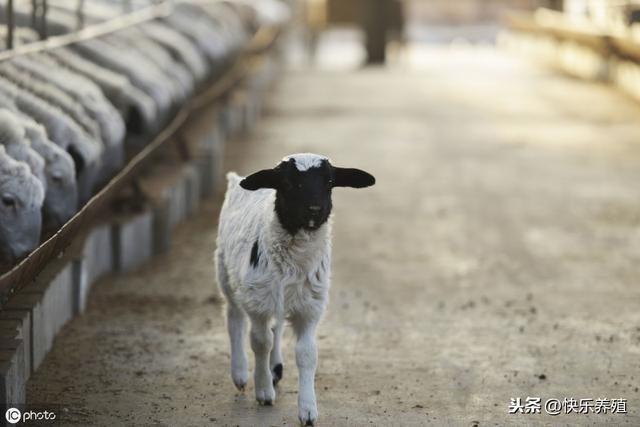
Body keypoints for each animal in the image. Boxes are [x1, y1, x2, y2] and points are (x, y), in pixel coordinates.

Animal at [215, 153, 376, 424]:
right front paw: (263, 391)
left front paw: (308, 410)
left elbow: (307, 354)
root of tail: (236, 180)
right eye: (288, 183)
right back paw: (240, 373)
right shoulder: (257, 302)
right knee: (234, 318)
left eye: (329, 182)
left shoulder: (310, 307)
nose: (314, 209)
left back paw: (275, 368)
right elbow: (260, 342)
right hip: (226, 274)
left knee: (277, 325)